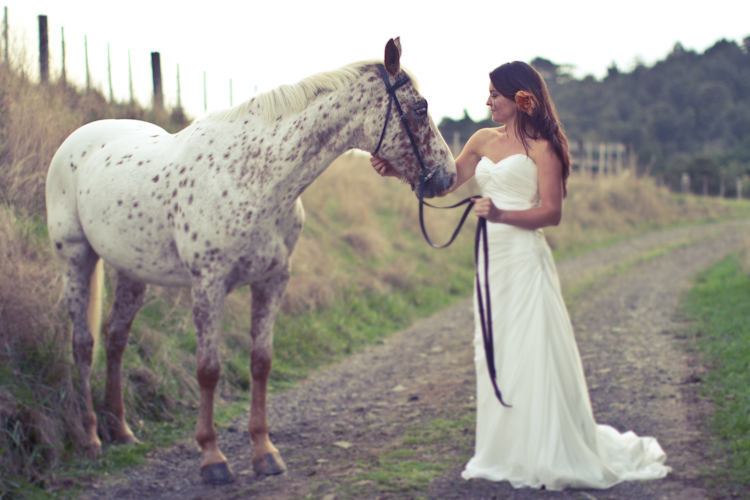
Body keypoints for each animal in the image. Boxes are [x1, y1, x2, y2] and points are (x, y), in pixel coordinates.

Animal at [45, 38, 456, 484]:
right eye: (420, 108)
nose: (448, 176)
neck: (254, 177)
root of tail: (78, 139)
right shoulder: (209, 284)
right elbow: (208, 369)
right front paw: (212, 458)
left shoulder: (272, 280)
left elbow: (261, 363)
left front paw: (264, 452)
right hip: (75, 258)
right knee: (83, 343)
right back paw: (91, 438)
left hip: (131, 270)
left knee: (115, 337)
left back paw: (120, 429)